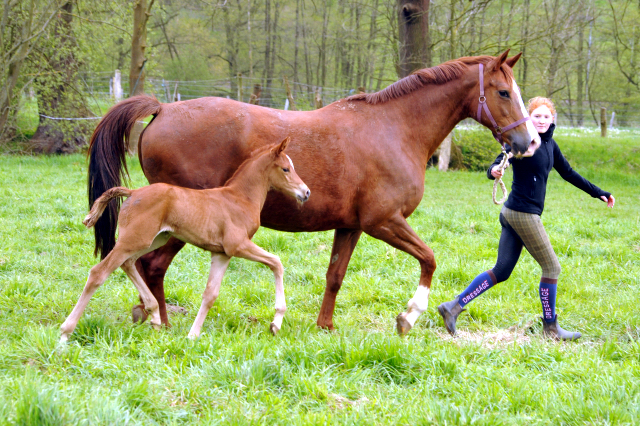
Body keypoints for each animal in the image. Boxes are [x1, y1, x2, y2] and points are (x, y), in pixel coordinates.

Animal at [60, 137, 310, 342]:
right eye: (286, 169)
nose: (306, 192)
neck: (240, 199)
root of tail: (133, 192)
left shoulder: (222, 253)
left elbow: (210, 294)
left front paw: (192, 335)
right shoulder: (238, 246)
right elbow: (277, 262)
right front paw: (276, 323)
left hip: (153, 240)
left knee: (127, 263)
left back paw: (154, 314)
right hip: (134, 239)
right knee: (99, 272)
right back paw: (65, 333)